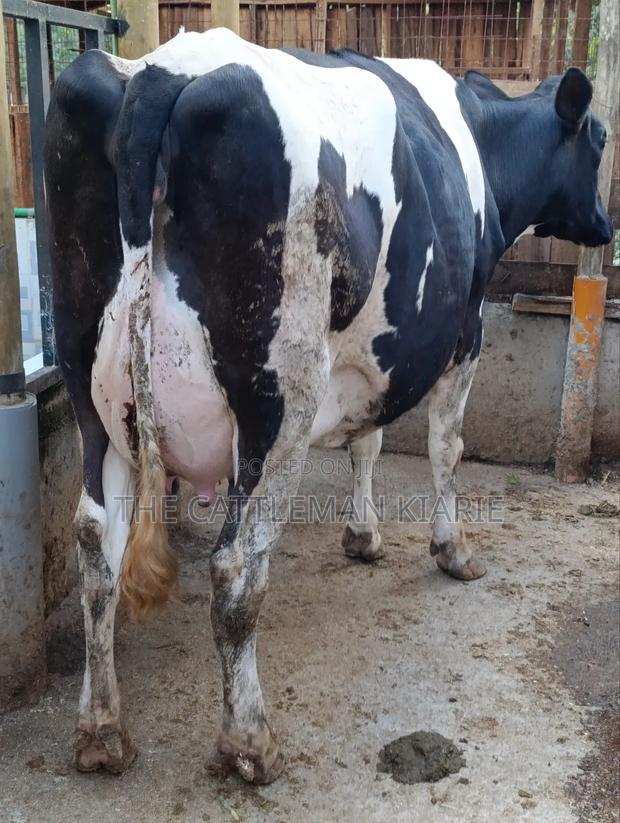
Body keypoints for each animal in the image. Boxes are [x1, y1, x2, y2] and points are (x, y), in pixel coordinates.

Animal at [44, 28, 612, 784]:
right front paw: (453, 550)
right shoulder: (465, 333)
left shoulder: (366, 355)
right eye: (600, 140)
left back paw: (101, 729)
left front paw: (362, 535)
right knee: (236, 566)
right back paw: (248, 742)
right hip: (277, 403)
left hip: (91, 394)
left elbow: (368, 437)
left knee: (96, 550)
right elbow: (445, 447)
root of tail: (163, 71)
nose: (607, 224)